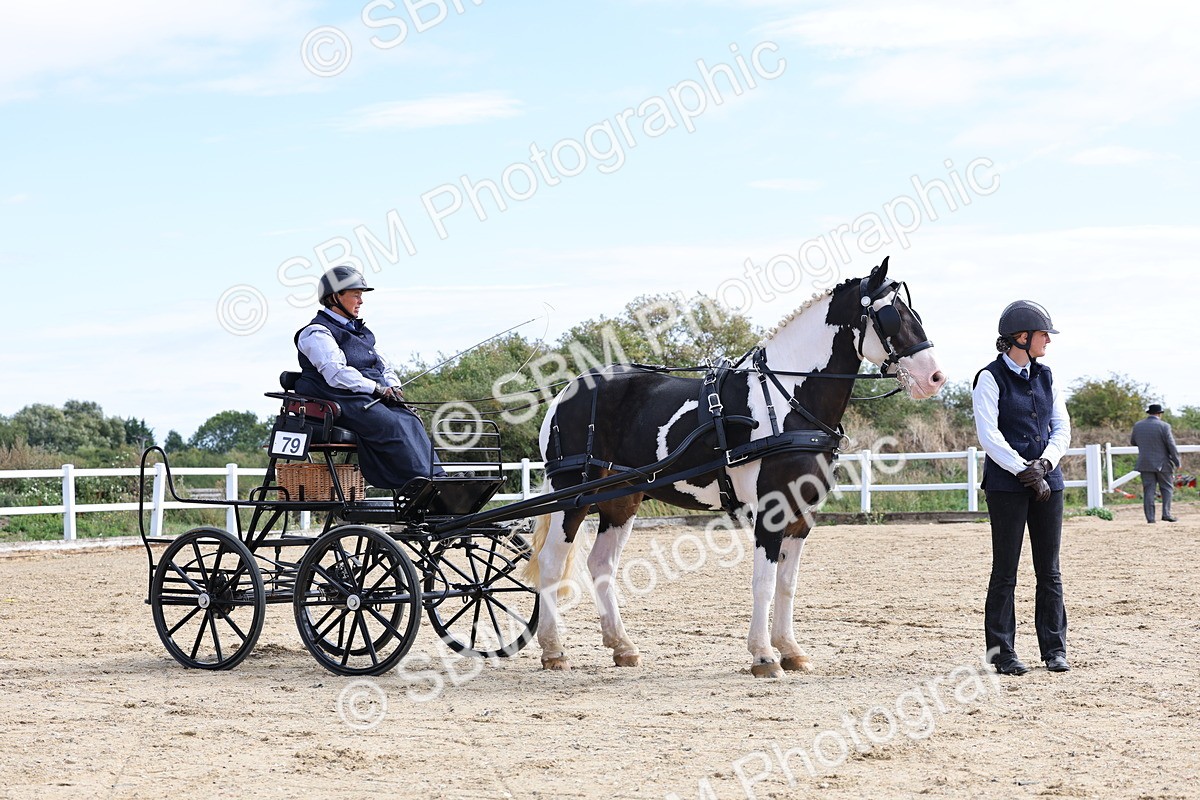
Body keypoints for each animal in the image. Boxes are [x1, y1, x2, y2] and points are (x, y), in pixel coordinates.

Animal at [524, 257, 945, 676]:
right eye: (891, 316)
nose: (935, 378)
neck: (787, 400)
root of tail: (568, 390)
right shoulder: (771, 511)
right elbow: (763, 582)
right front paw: (763, 656)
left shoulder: (802, 516)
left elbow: (787, 584)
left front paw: (790, 650)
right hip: (571, 494)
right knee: (551, 563)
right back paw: (554, 650)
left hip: (620, 501)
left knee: (601, 564)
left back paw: (622, 646)